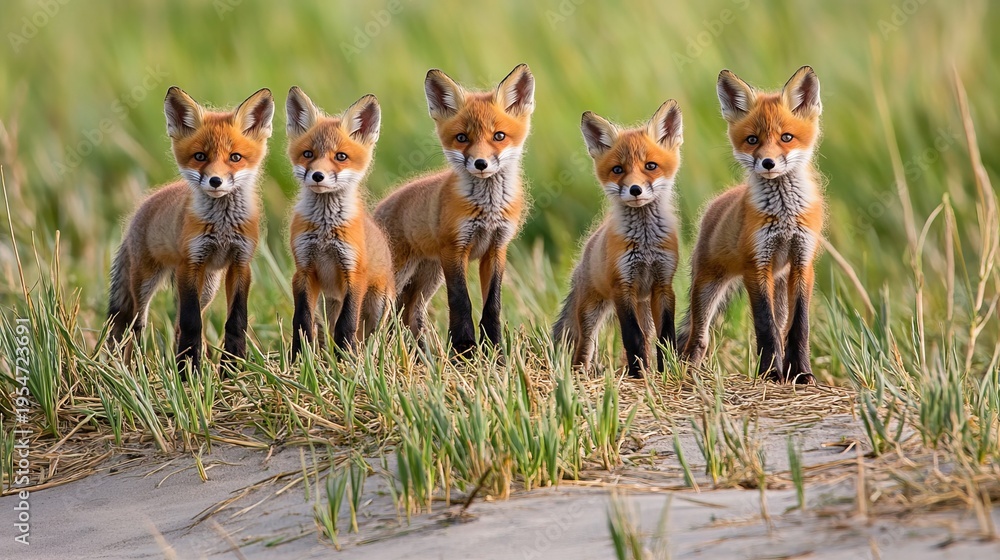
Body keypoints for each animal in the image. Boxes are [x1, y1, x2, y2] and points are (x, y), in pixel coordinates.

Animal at [108, 87, 274, 374]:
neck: (222, 227)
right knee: (137, 326)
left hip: (207, 287)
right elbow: (191, 323)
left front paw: (231, 369)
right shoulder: (191, 263)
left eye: (235, 157)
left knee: (180, 324)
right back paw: (135, 369)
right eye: (200, 157)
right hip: (145, 282)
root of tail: (141, 208)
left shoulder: (241, 263)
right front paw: (189, 373)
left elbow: (235, 321)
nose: (215, 181)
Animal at [285, 87, 395, 358]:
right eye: (308, 154)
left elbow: (347, 323)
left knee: (371, 335)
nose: (317, 175)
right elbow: (301, 321)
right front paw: (298, 358)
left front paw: (345, 359)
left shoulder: (353, 272)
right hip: (328, 303)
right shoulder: (303, 270)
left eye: (341, 156)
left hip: (378, 304)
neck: (325, 231)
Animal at [374, 64, 534, 356]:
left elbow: (493, 304)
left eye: (499, 136)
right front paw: (464, 350)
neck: (487, 209)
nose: (481, 163)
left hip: (427, 277)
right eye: (462, 138)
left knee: (410, 314)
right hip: (399, 276)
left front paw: (495, 349)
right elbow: (461, 301)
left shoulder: (496, 248)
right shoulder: (454, 249)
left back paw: (421, 356)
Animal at [552, 101, 683, 378]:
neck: (645, 244)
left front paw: (667, 372)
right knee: (585, 346)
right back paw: (580, 374)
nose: (635, 190)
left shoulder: (663, 284)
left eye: (650, 166)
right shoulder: (622, 287)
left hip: (644, 305)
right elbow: (632, 338)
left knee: (649, 335)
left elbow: (665, 337)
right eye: (618, 170)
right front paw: (637, 375)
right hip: (591, 311)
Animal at [679, 66, 824, 384]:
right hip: (706, 286)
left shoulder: (802, 263)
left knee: (783, 326)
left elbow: (798, 327)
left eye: (786, 137)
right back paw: (689, 371)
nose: (768, 163)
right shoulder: (756, 266)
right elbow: (765, 326)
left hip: (780, 283)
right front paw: (770, 373)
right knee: (698, 336)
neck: (784, 215)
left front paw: (801, 373)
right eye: (753, 140)